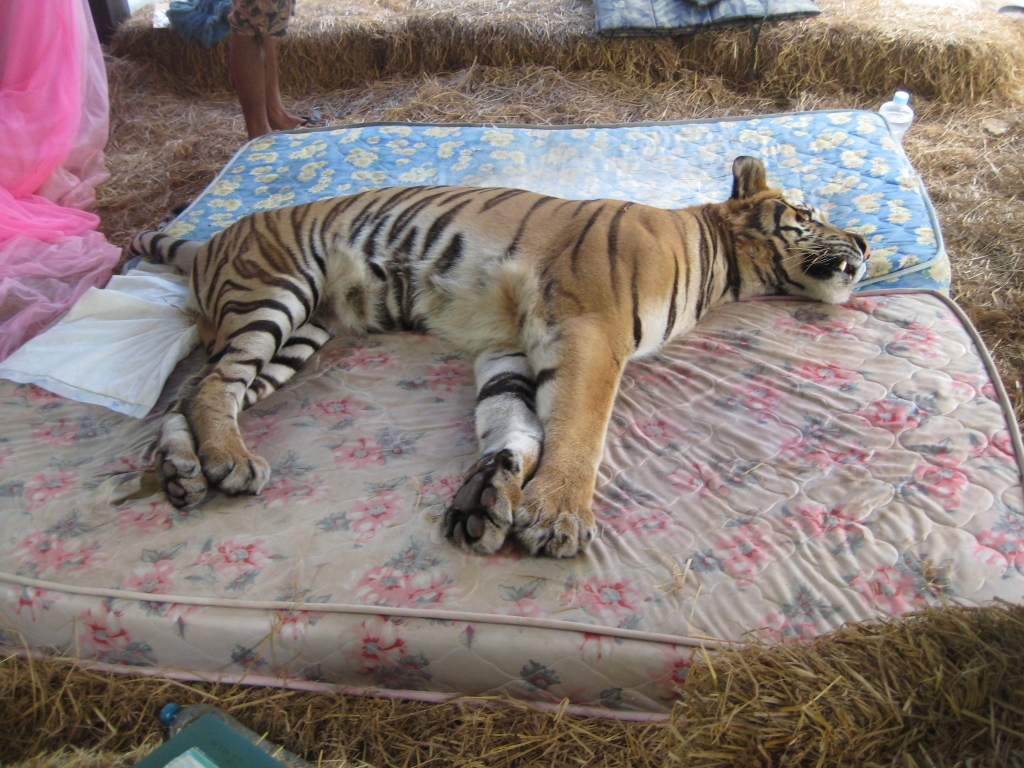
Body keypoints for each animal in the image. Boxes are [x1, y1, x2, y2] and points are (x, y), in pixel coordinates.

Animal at [125, 159, 864, 561]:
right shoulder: (591, 331)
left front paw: (491, 499)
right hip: (275, 294)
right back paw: (229, 463)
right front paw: (560, 517)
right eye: (807, 213)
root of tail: (208, 242)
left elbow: (513, 425)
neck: (722, 265)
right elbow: (582, 428)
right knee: (212, 384)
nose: (862, 238)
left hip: (301, 336)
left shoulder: (506, 342)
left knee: (194, 391)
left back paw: (186, 472)